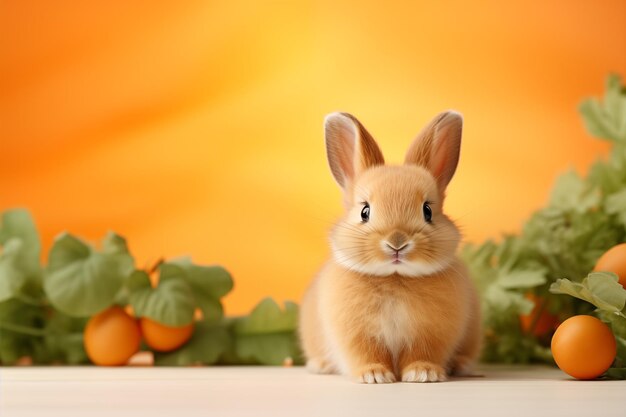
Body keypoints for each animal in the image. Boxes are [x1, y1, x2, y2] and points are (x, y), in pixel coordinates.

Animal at [300, 111, 480, 384]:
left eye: (427, 211)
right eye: (365, 212)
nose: (397, 243)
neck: (395, 278)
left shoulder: (429, 335)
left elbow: (421, 354)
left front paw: (423, 373)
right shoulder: (357, 335)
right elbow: (367, 354)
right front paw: (374, 376)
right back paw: (321, 365)